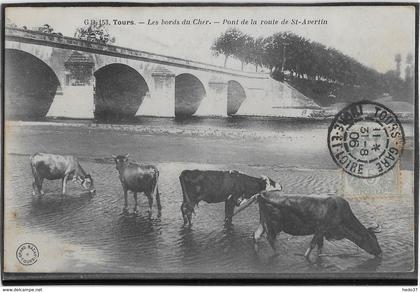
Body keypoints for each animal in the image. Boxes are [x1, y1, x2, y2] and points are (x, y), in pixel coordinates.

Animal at [246, 190, 380, 258]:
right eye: (373, 239)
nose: (380, 252)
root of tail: (261, 194)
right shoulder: (320, 229)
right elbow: (311, 246)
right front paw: (305, 257)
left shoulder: (322, 232)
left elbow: (320, 247)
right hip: (274, 224)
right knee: (270, 238)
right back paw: (277, 253)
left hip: (263, 222)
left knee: (256, 235)